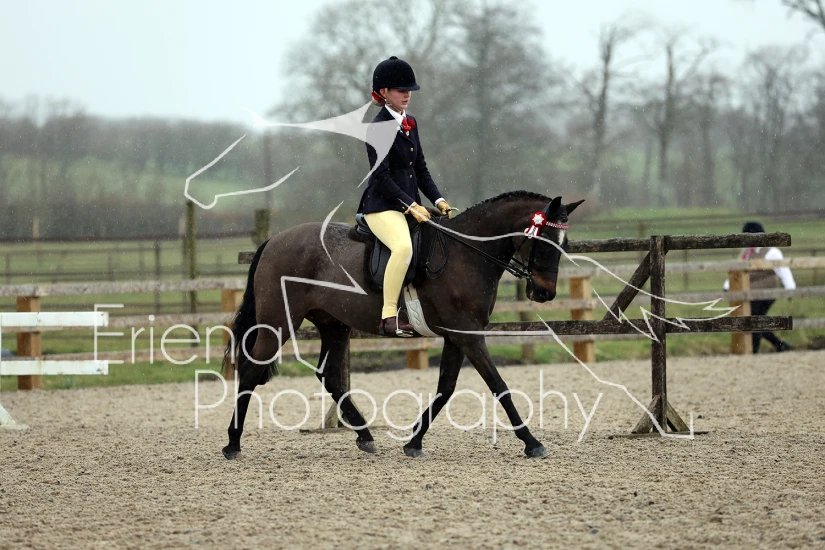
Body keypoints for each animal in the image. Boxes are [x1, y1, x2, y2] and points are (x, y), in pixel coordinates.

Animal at [222, 191, 584, 459]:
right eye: (545, 240)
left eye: (564, 243)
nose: (545, 293)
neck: (467, 254)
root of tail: (273, 241)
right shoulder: (468, 335)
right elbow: (499, 385)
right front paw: (532, 443)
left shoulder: (457, 336)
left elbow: (446, 388)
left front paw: (414, 441)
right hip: (279, 322)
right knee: (252, 369)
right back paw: (233, 443)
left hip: (333, 324)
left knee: (330, 376)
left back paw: (366, 436)